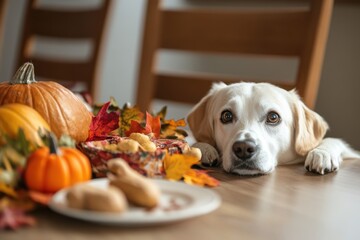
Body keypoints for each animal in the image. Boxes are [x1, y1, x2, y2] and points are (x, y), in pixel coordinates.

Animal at [187, 82, 358, 174]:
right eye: (227, 116)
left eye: (273, 117)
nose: (243, 148)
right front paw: (203, 147)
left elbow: (333, 141)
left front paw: (322, 153)